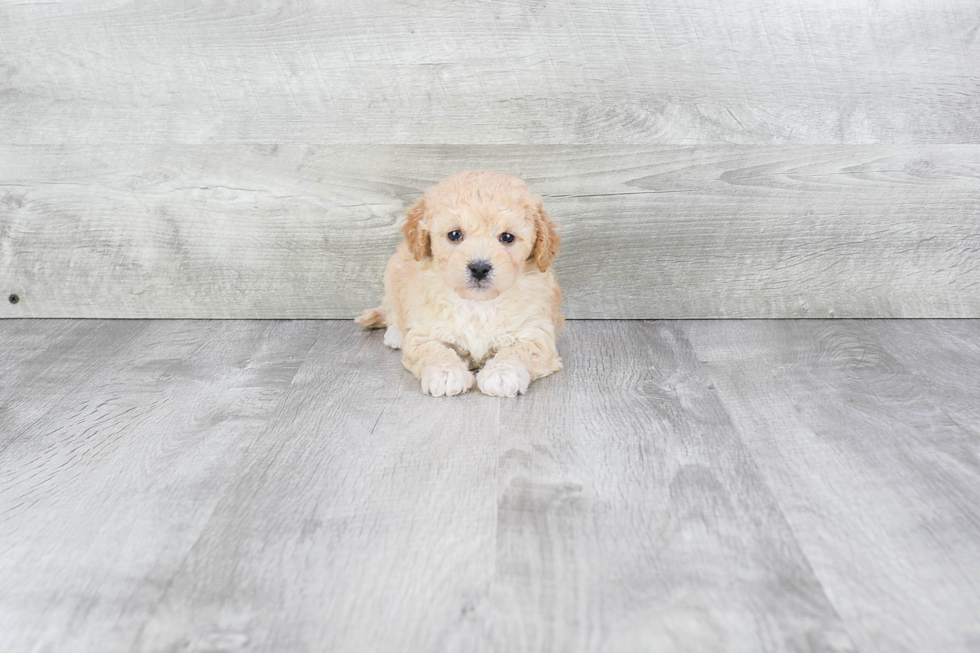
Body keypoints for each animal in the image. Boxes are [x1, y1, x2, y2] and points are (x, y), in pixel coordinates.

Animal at [356, 171, 564, 394]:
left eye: (507, 237)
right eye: (455, 234)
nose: (479, 268)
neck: (478, 305)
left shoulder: (536, 333)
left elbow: (519, 351)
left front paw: (501, 373)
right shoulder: (425, 332)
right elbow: (433, 350)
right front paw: (445, 373)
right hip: (393, 273)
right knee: (392, 309)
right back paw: (395, 335)